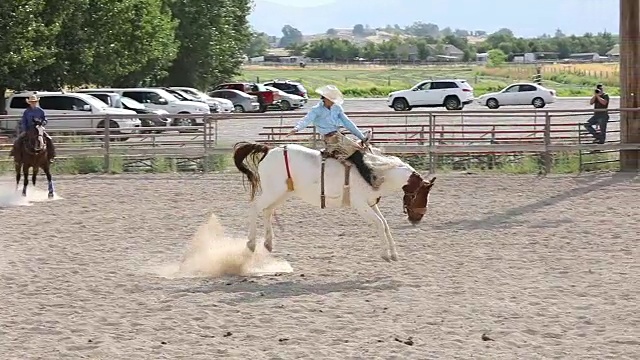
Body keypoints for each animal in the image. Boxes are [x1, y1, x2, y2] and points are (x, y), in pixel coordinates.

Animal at [232, 139, 438, 262]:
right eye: (421, 195)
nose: (418, 218)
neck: (374, 172)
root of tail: (268, 150)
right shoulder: (361, 205)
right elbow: (380, 224)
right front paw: (386, 254)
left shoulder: (371, 204)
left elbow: (385, 224)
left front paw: (393, 253)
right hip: (272, 191)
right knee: (255, 207)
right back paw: (251, 244)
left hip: (282, 193)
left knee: (267, 211)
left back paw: (268, 244)